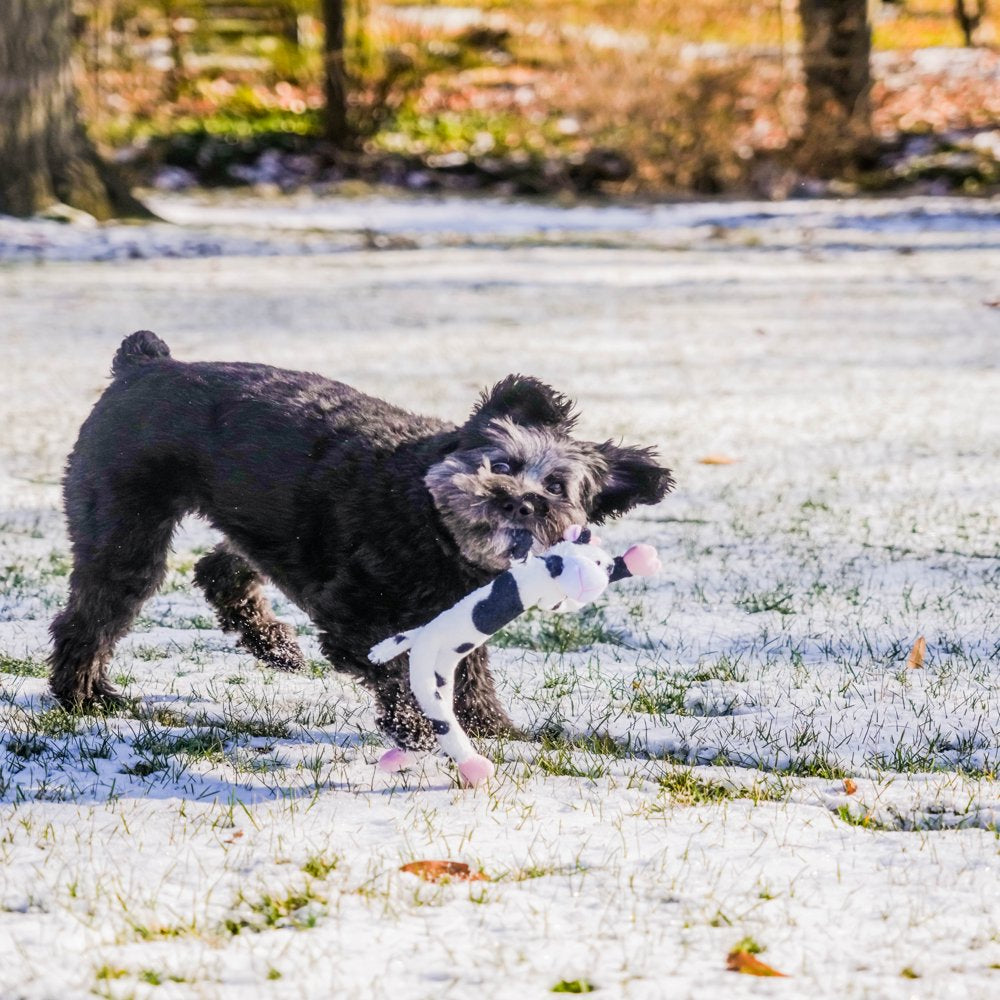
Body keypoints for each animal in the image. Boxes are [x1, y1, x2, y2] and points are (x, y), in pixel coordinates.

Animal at [48, 334, 672, 752]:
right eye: (502, 464)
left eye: (557, 488)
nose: (522, 503)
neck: (425, 517)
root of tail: (144, 364)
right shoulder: (352, 620)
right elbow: (396, 672)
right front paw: (417, 729)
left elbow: (471, 677)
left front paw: (495, 728)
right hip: (124, 531)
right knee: (89, 616)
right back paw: (84, 695)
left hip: (256, 524)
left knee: (219, 571)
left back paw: (274, 645)